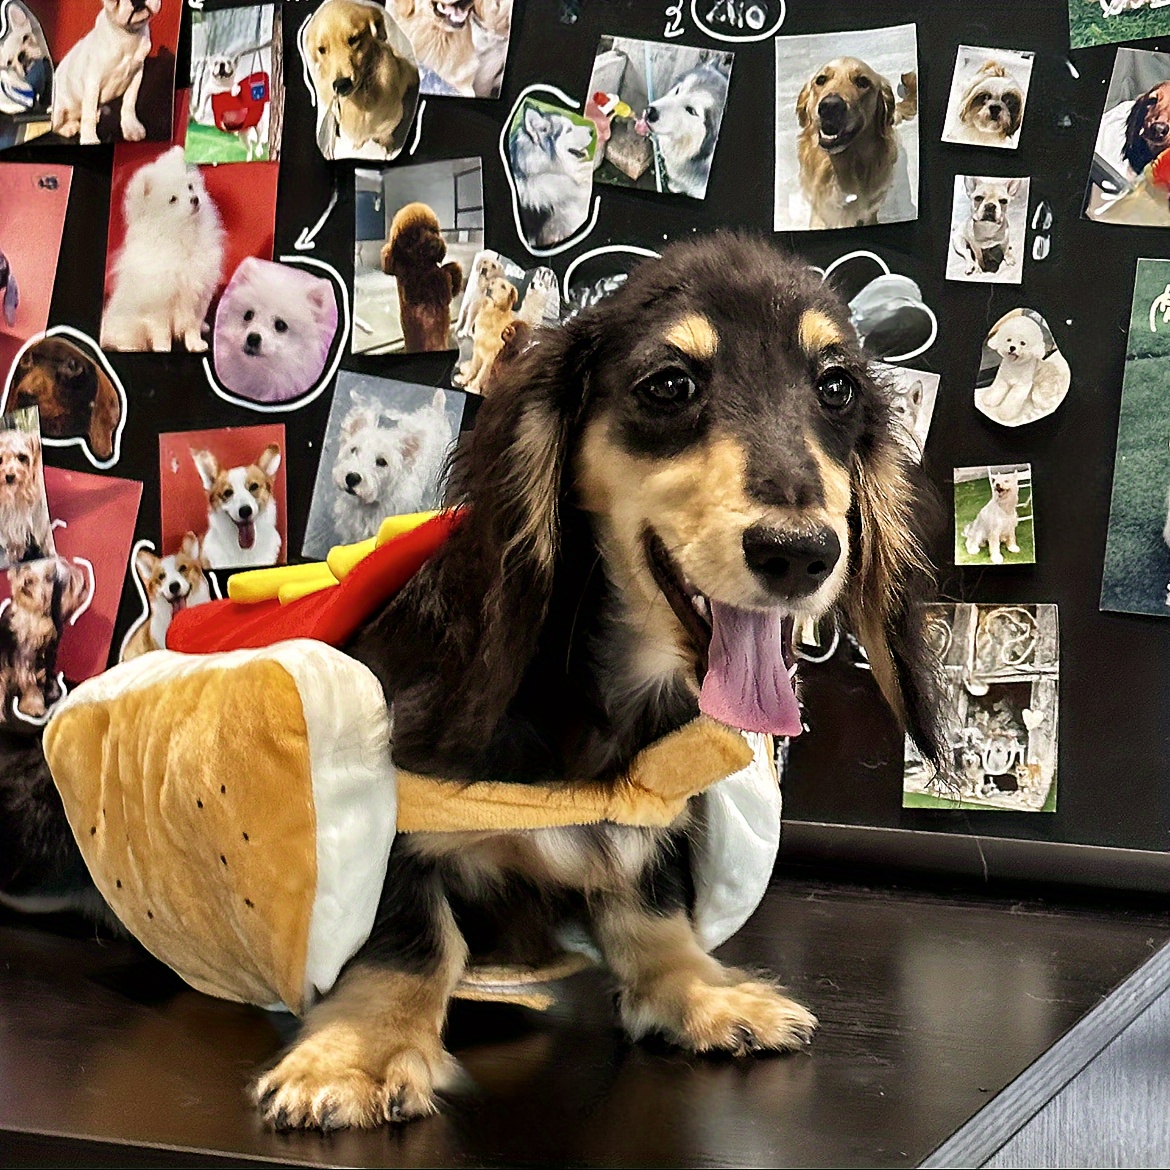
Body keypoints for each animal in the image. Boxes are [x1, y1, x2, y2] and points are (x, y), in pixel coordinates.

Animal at [0, 235, 940, 1123]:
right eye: (670, 385)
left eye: (837, 387)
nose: (800, 553)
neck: (594, 695)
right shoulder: (387, 812)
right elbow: (414, 936)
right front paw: (360, 1055)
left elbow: (649, 908)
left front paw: (700, 988)